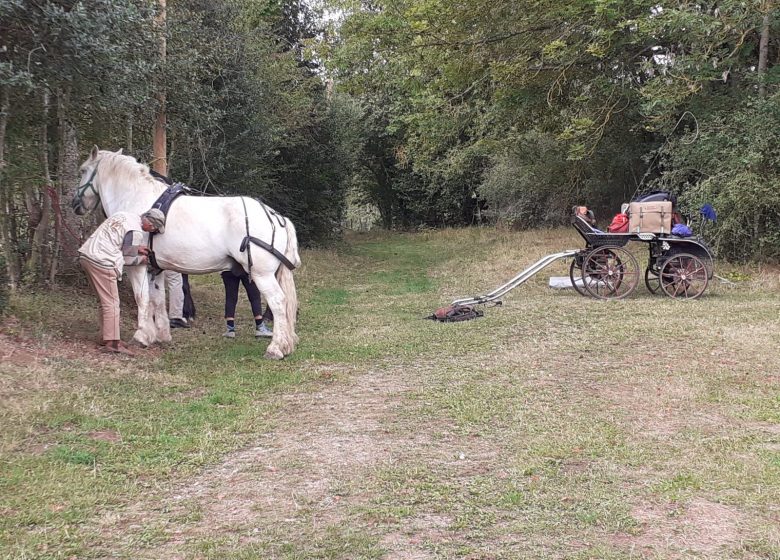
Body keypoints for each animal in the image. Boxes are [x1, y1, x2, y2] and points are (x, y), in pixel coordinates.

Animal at [71, 147, 302, 360]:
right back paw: (286, 344)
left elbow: (142, 298)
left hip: (262, 275)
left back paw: (275, 348)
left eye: (83, 170)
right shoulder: (155, 268)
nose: (74, 204)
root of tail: (275, 216)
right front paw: (161, 335)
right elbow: (156, 300)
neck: (136, 198)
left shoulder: (136, 265)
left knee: (278, 303)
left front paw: (142, 335)